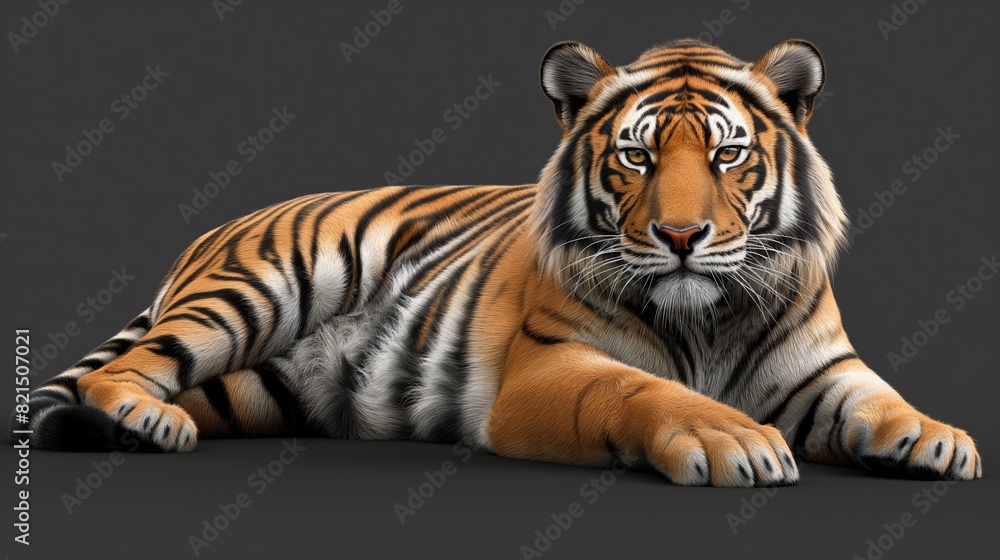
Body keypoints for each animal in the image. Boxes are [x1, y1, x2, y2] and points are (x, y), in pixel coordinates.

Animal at [11, 38, 981, 487]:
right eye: (635, 158)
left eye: (728, 155)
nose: (681, 237)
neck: (705, 313)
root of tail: (210, 231)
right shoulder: (549, 370)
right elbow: (642, 391)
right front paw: (731, 438)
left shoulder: (824, 367)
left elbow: (877, 399)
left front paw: (937, 439)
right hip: (255, 291)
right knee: (122, 370)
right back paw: (145, 421)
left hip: (262, 386)